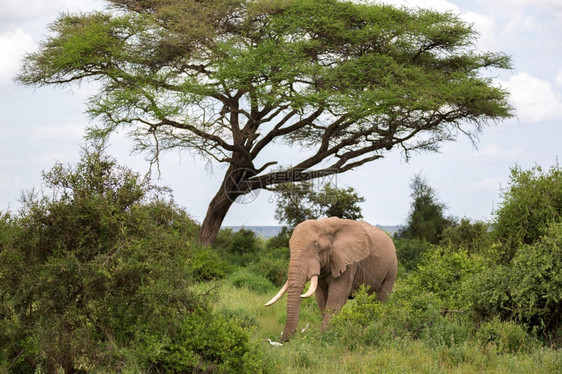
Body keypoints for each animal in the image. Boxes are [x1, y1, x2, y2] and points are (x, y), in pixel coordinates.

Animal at [264, 216, 396, 342]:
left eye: (316, 245)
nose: (281, 340)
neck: (324, 224)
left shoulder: (348, 263)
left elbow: (335, 298)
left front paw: (325, 336)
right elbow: (322, 299)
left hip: (392, 268)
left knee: (381, 298)